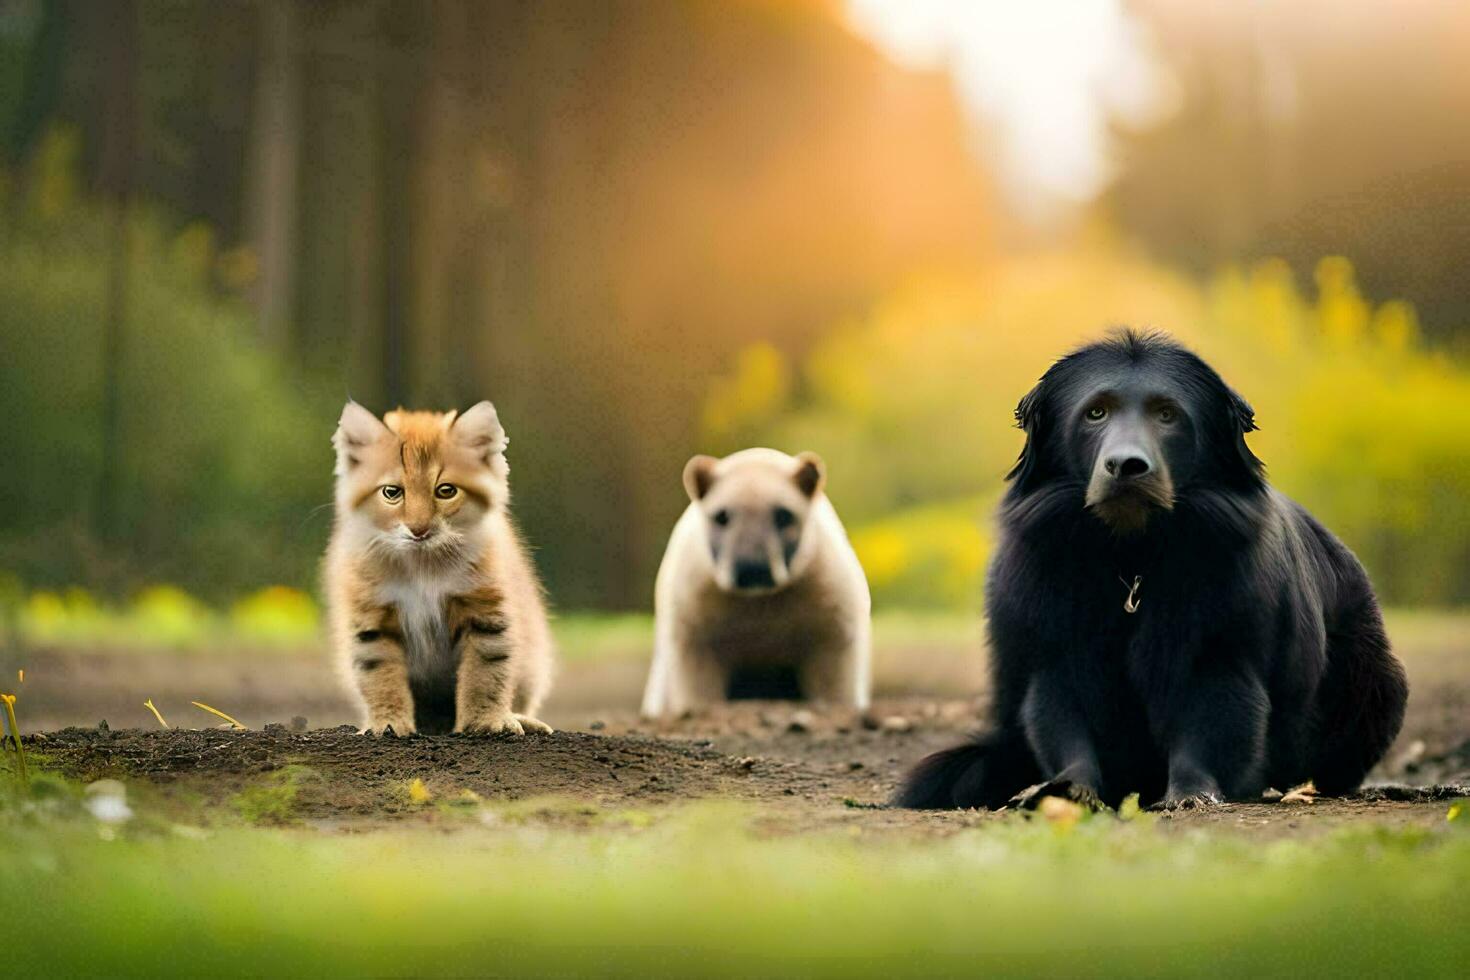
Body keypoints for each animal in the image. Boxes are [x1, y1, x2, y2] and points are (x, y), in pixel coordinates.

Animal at [324, 399, 552, 734]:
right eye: (392, 492)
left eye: (445, 491)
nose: (418, 530)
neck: (422, 566)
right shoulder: (370, 618)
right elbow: (380, 677)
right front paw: (387, 723)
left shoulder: (486, 610)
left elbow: (487, 671)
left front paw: (486, 722)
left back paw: (519, 718)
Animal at [893, 332, 1411, 811]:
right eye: (1095, 413)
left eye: (1167, 415)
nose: (1126, 466)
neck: (1132, 553)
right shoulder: (1055, 645)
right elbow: (1063, 721)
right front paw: (1066, 789)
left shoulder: (1220, 646)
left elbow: (1212, 721)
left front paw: (1191, 793)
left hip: (1374, 685)